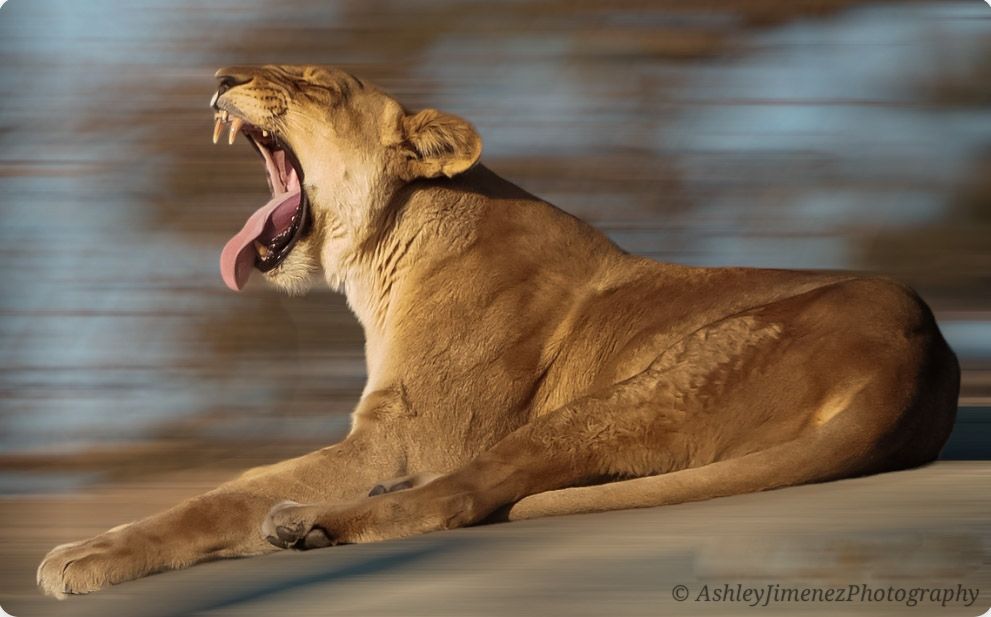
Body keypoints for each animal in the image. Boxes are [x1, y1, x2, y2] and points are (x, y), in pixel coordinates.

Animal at [37, 65, 959, 598]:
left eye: (316, 85)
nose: (224, 71)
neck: (383, 254)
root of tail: (920, 356)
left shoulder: (409, 435)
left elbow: (228, 490)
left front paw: (83, 554)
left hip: (639, 389)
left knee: (460, 496)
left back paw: (309, 524)